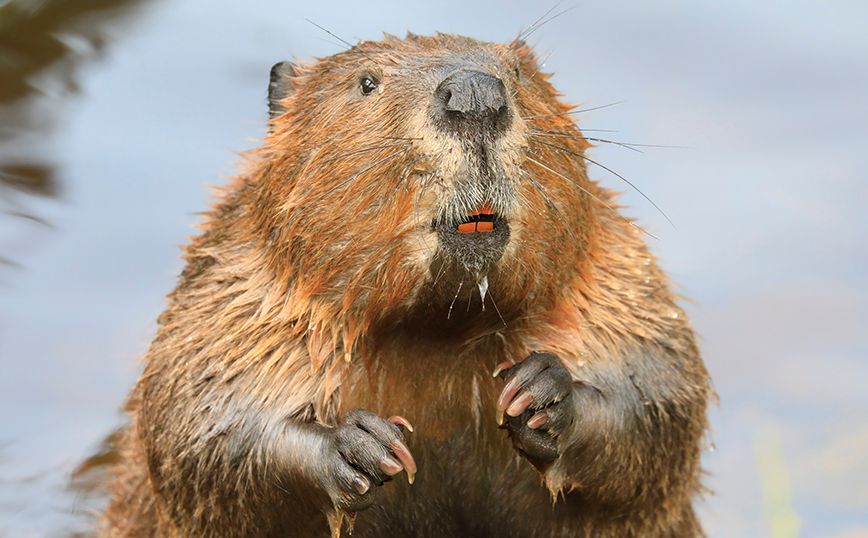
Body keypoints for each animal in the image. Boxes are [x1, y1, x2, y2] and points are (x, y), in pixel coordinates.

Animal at [95, 32, 708, 536]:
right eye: (367, 82)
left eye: (517, 70)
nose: (475, 94)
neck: (434, 334)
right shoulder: (236, 286)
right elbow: (198, 423)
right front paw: (362, 447)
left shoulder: (612, 274)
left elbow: (662, 387)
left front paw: (538, 394)